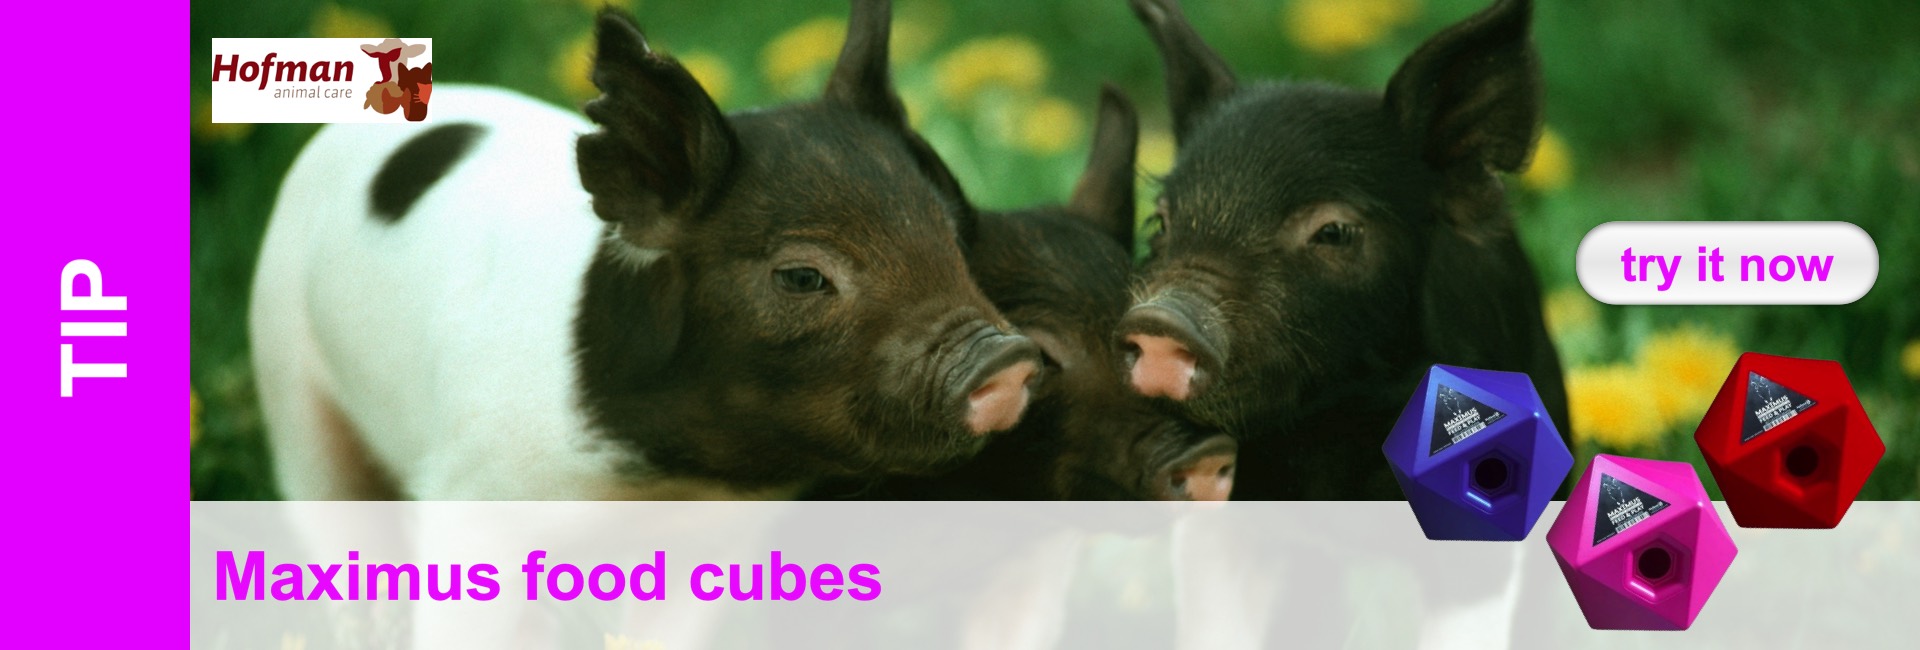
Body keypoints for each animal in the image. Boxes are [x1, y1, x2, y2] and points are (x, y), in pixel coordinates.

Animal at [249, 1, 1041, 501]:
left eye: (954, 232)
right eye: (801, 276)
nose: (1007, 357)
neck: (668, 476)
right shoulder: (469, 484)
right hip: (285, 366)